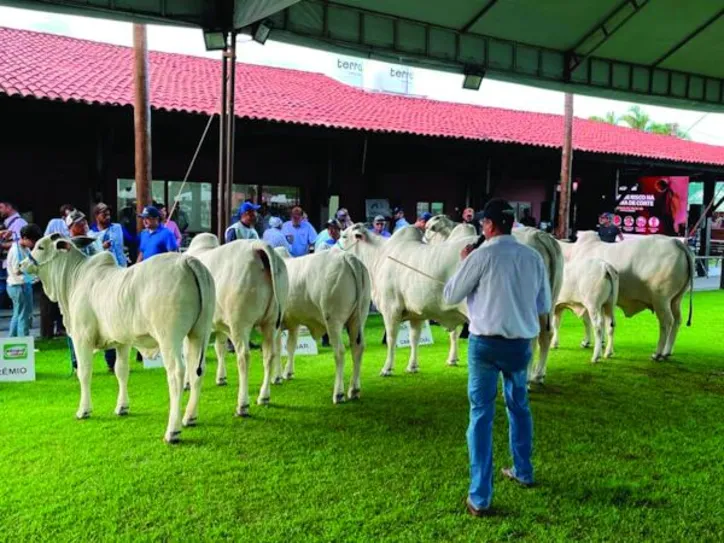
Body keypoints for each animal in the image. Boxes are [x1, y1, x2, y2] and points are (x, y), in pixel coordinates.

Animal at [23, 234, 215, 442]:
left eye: (40, 247)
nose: (22, 264)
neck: (74, 279)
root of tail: (187, 260)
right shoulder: (122, 342)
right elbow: (121, 371)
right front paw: (122, 407)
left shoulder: (82, 338)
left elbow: (84, 372)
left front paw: (84, 410)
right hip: (199, 333)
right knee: (197, 370)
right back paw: (190, 417)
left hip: (169, 338)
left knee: (176, 373)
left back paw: (173, 430)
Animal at [187, 234, 288, 416]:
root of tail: (258, 246)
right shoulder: (219, 326)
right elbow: (219, 349)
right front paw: (221, 378)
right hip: (271, 323)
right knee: (269, 354)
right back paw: (264, 396)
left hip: (240, 323)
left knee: (244, 357)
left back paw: (242, 405)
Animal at [272, 250, 374, 404]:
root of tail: (348, 257)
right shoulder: (294, 323)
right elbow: (291, 347)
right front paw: (288, 373)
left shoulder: (277, 322)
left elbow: (278, 348)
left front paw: (276, 377)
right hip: (359, 317)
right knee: (358, 348)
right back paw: (354, 390)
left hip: (333, 320)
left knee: (340, 352)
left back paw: (339, 393)